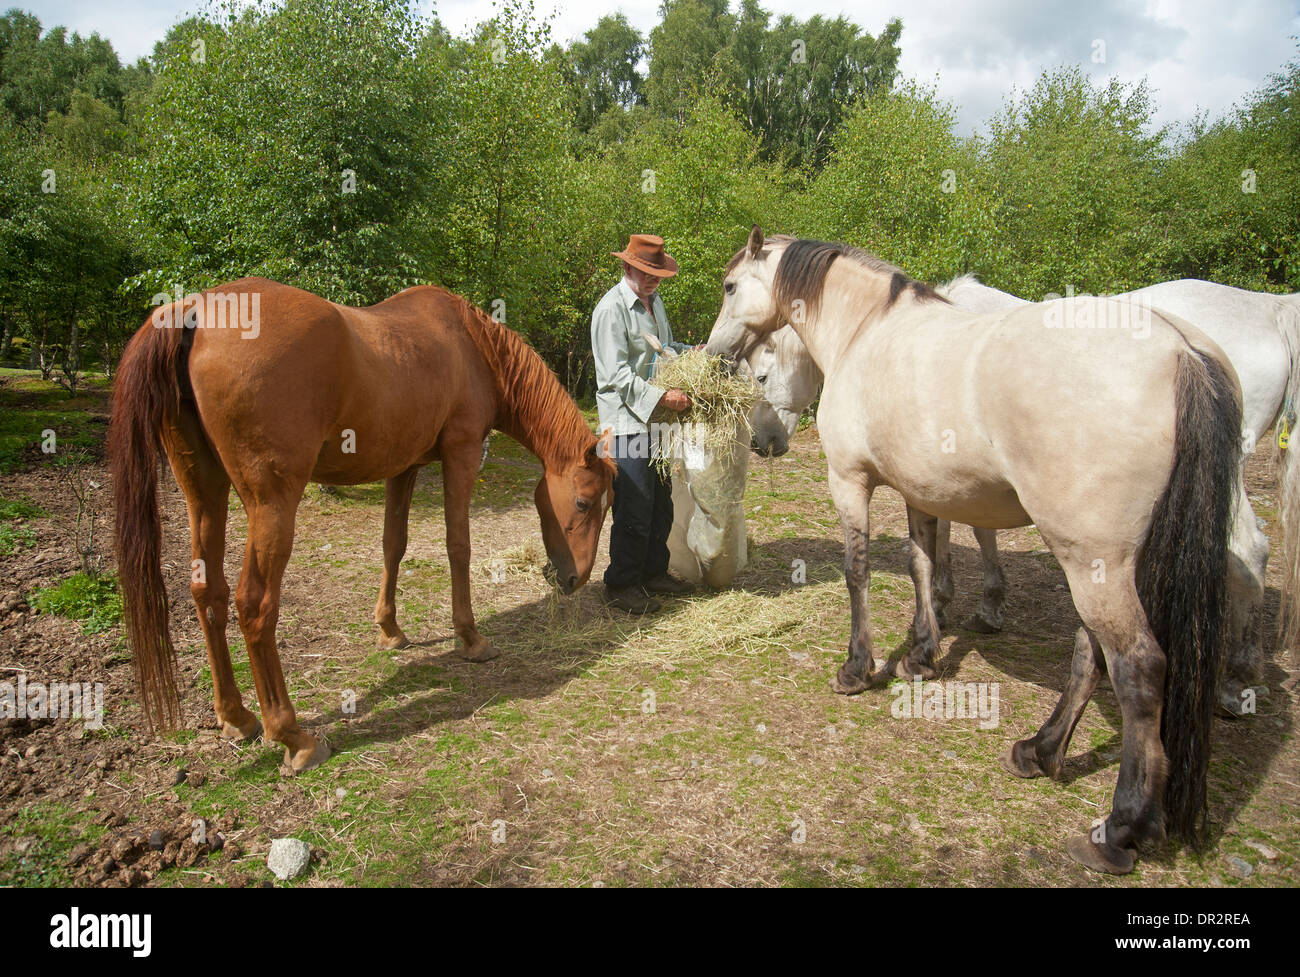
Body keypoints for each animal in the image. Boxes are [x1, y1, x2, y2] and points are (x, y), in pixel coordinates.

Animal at [109, 279, 615, 772]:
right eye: (585, 502)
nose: (574, 579)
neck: (473, 346)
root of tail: (192, 310)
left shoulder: (405, 466)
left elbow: (395, 544)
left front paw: (390, 630)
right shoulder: (462, 452)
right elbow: (458, 545)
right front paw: (471, 638)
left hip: (205, 493)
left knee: (207, 592)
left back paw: (237, 716)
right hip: (272, 505)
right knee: (254, 605)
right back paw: (293, 736)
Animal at [708, 227, 1247, 873]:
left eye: (731, 286)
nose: (714, 355)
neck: (866, 331)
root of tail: (1180, 352)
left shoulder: (850, 482)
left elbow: (858, 573)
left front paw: (858, 668)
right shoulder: (919, 491)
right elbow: (922, 565)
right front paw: (921, 653)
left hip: (1093, 561)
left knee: (1137, 668)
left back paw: (1120, 828)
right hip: (1102, 561)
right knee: (1090, 654)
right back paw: (1041, 751)